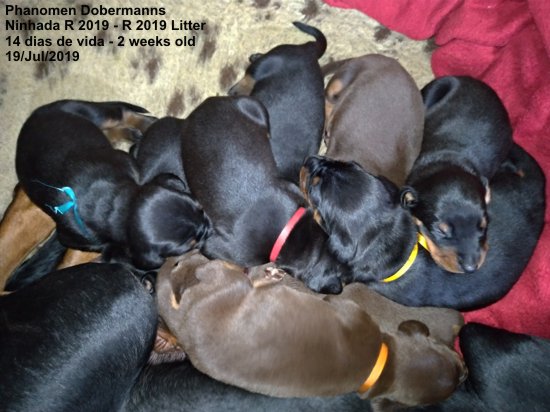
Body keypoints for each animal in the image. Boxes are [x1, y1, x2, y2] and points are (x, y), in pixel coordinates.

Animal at [15, 100, 211, 271]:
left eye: (201, 208)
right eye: (190, 244)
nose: (208, 227)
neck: (117, 205)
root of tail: (33, 116)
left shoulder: (128, 164)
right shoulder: (79, 237)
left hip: (90, 113)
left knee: (120, 113)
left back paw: (145, 124)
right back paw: (133, 131)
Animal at [179, 95, 348, 293]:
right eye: (343, 274)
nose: (339, 289)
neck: (288, 232)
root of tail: (205, 104)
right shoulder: (215, 247)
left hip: (256, 107)